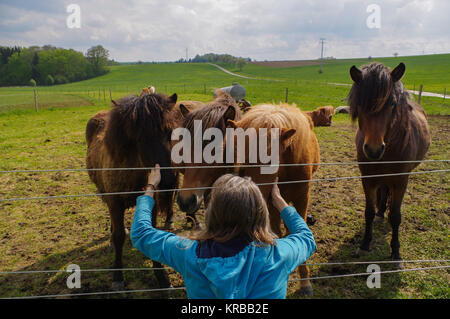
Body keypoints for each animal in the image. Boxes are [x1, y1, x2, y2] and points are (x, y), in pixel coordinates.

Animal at [86, 88, 179, 290]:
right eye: (140, 138)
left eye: (169, 131)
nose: (168, 181)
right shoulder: (115, 203)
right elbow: (119, 235)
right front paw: (118, 276)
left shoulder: (152, 202)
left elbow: (151, 231)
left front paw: (161, 275)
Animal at [176, 102, 320, 296]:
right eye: (239, 156)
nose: (186, 200)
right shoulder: (270, 202)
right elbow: (278, 231)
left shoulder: (302, 198)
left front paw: (305, 281)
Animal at [348, 62, 432, 268]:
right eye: (360, 103)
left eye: (392, 103)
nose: (374, 150)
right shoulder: (368, 179)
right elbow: (368, 212)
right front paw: (364, 245)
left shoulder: (400, 181)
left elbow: (395, 216)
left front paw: (396, 253)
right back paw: (380, 213)